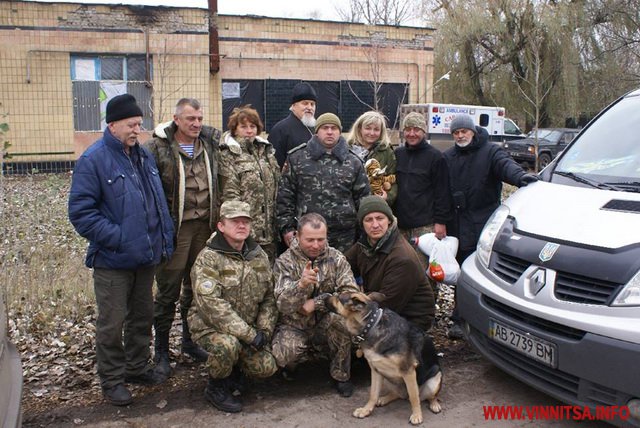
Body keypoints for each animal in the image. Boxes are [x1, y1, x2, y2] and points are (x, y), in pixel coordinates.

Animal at [328, 290, 442, 424]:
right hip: (387, 377)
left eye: (338, 297)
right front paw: (366, 410)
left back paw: (434, 404)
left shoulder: (408, 372)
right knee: (399, 394)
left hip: (434, 379)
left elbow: (414, 397)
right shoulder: (376, 370)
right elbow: (373, 394)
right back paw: (384, 399)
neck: (372, 325)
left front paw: (417, 415)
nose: (324, 296)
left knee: (426, 396)